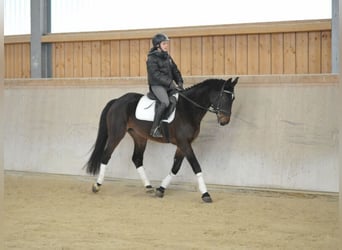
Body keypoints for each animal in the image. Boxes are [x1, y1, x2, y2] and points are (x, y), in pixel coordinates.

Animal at [85, 77, 239, 202]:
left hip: (139, 137)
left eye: (233, 99)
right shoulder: (184, 143)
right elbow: (196, 166)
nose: (224, 121)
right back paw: (97, 185)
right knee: (106, 156)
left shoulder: (183, 144)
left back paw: (148, 187)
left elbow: (175, 167)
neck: (188, 109)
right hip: (116, 134)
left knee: (137, 159)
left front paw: (161, 189)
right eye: (224, 97)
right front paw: (206, 194)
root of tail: (117, 100)